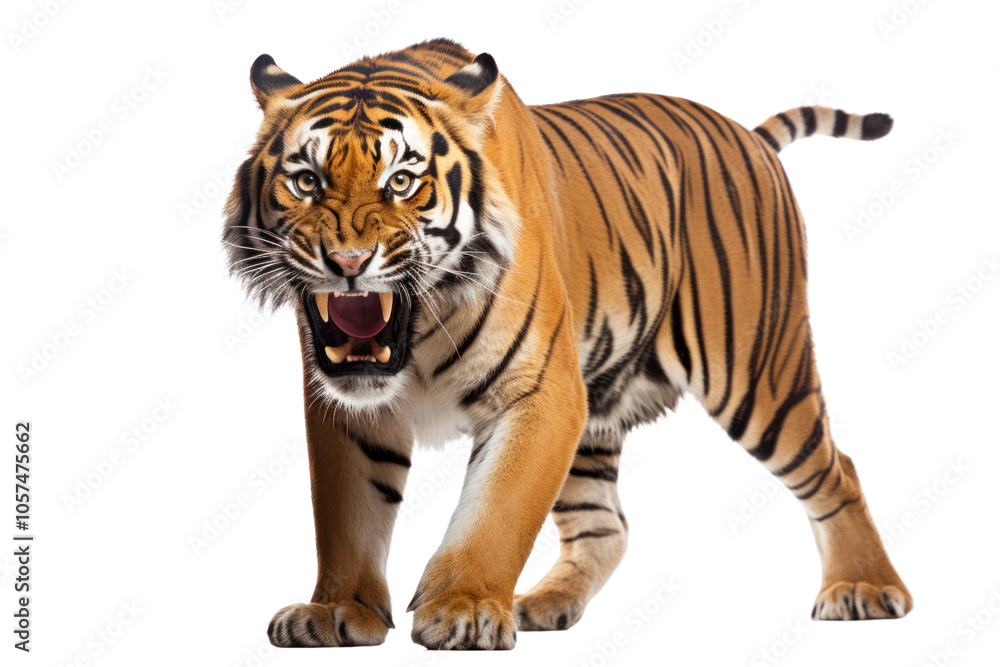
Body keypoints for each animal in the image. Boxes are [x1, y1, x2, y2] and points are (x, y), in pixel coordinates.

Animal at [223, 38, 912, 650]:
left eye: (400, 181)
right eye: (306, 180)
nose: (347, 262)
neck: (415, 339)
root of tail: (748, 133)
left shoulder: (541, 392)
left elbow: (497, 511)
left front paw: (465, 609)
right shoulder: (345, 409)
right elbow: (349, 519)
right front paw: (338, 612)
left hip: (757, 374)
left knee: (837, 469)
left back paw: (867, 589)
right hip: (602, 407)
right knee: (605, 525)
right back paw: (545, 603)